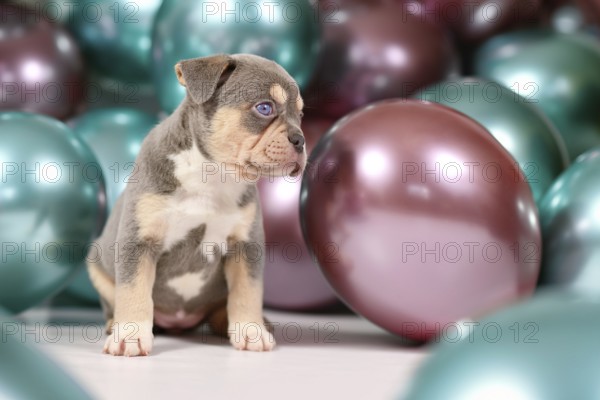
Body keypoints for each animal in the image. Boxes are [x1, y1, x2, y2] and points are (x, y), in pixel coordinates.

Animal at [86, 53, 308, 356]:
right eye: (264, 108)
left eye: (301, 115)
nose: (301, 140)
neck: (212, 174)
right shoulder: (139, 241)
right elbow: (134, 291)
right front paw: (130, 335)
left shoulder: (245, 245)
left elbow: (248, 291)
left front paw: (250, 330)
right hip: (97, 267)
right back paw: (114, 324)